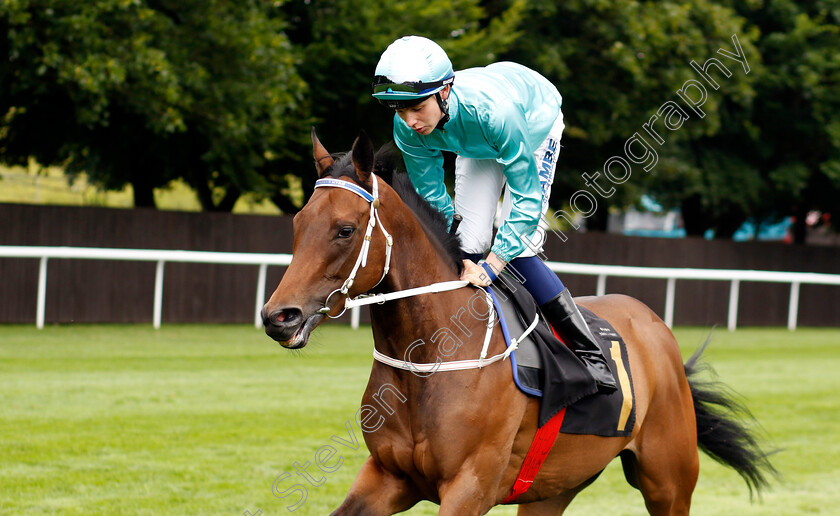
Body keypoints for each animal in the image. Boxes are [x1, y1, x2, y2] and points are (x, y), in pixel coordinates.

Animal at [262, 131, 776, 512]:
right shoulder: (388, 476)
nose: (278, 317)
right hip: (554, 486)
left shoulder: (470, 486)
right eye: (297, 224)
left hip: (668, 479)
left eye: (345, 230)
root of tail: (655, 326)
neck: (431, 357)